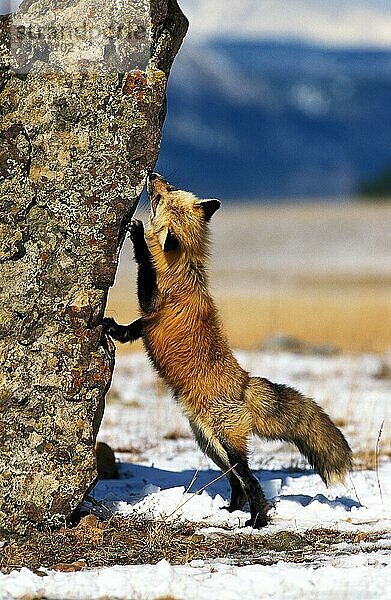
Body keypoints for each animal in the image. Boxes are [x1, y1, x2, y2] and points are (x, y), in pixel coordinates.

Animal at [102, 172, 354, 524]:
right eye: (167, 188)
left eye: (161, 196)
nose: (154, 176)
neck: (185, 270)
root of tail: (245, 384)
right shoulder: (149, 321)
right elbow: (133, 328)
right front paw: (114, 329)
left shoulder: (155, 305)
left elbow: (146, 273)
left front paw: (137, 236)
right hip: (210, 444)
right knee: (237, 482)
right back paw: (232, 510)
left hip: (226, 443)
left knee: (251, 480)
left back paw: (257, 520)